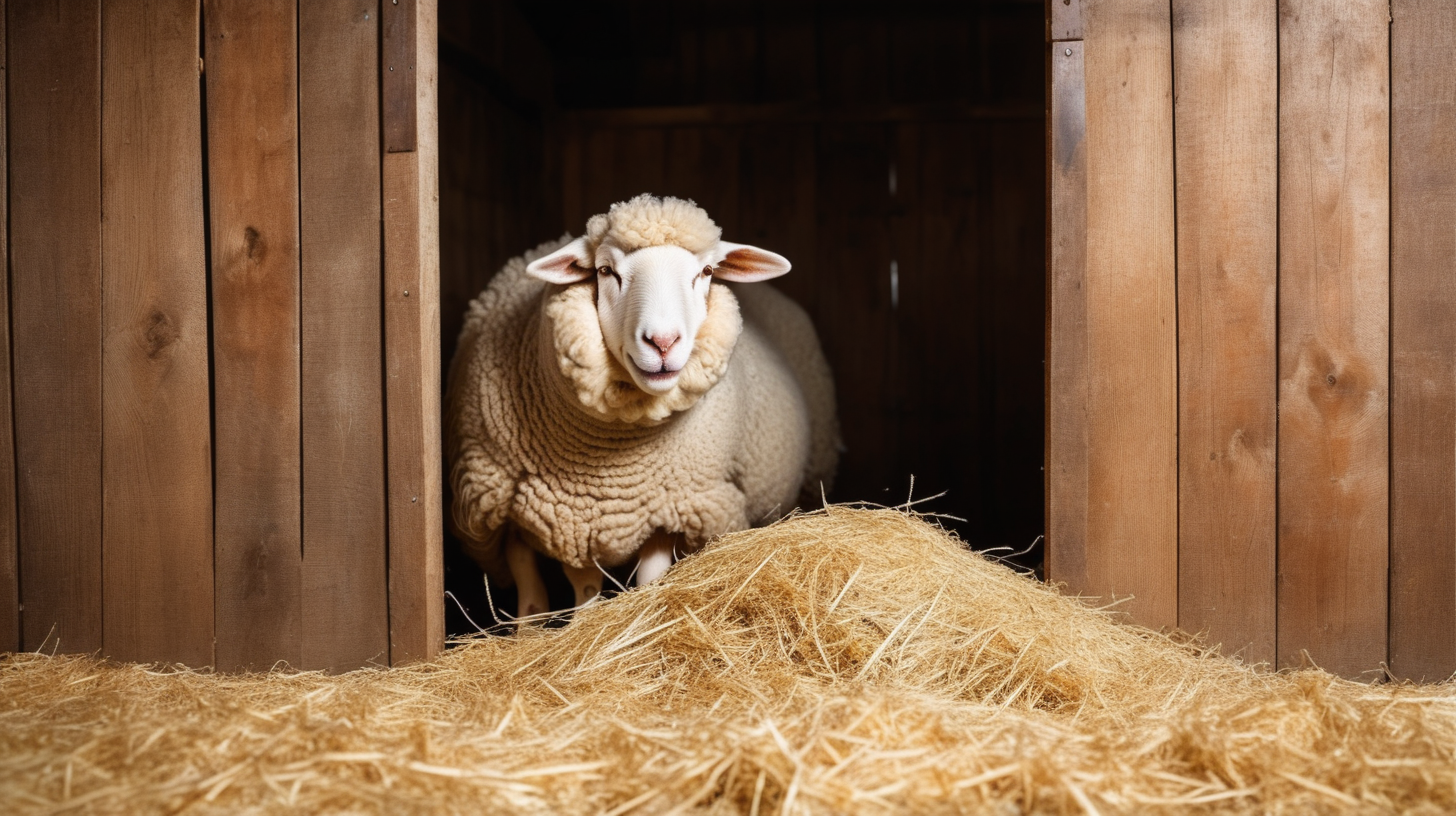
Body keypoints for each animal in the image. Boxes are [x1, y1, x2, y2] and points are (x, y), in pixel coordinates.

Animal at [445, 193, 844, 620]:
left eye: (706, 271)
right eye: (605, 270)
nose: (663, 342)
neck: (604, 461)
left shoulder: (665, 510)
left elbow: (647, 581)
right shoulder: (509, 512)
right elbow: (543, 597)